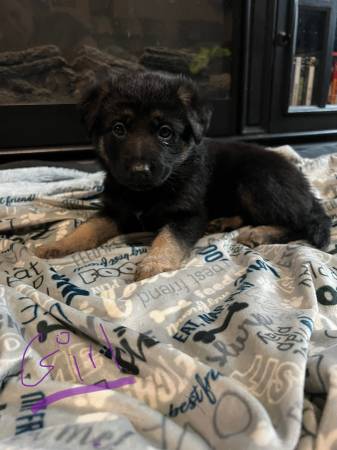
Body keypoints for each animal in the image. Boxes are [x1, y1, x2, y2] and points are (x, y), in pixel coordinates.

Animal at [34, 71, 330, 280]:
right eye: (118, 129)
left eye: (165, 132)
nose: (140, 172)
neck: (149, 192)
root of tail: (305, 187)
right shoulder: (115, 210)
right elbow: (89, 227)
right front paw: (59, 244)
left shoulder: (188, 215)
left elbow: (170, 238)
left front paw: (155, 262)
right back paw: (223, 222)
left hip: (256, 182)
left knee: (301, 221)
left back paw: (261, 233)